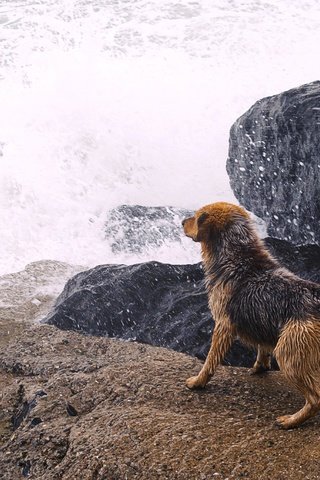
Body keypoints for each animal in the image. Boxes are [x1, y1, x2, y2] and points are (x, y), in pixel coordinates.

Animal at [184, 202, 320, 428]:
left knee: (315, 398)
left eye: (196, 217)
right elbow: (262, 348)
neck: (237, 254)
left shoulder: (223, 324)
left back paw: (291, 420)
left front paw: (198, 381)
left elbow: (211, 359)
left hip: (290, 352)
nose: (181, 222)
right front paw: (260, 367)